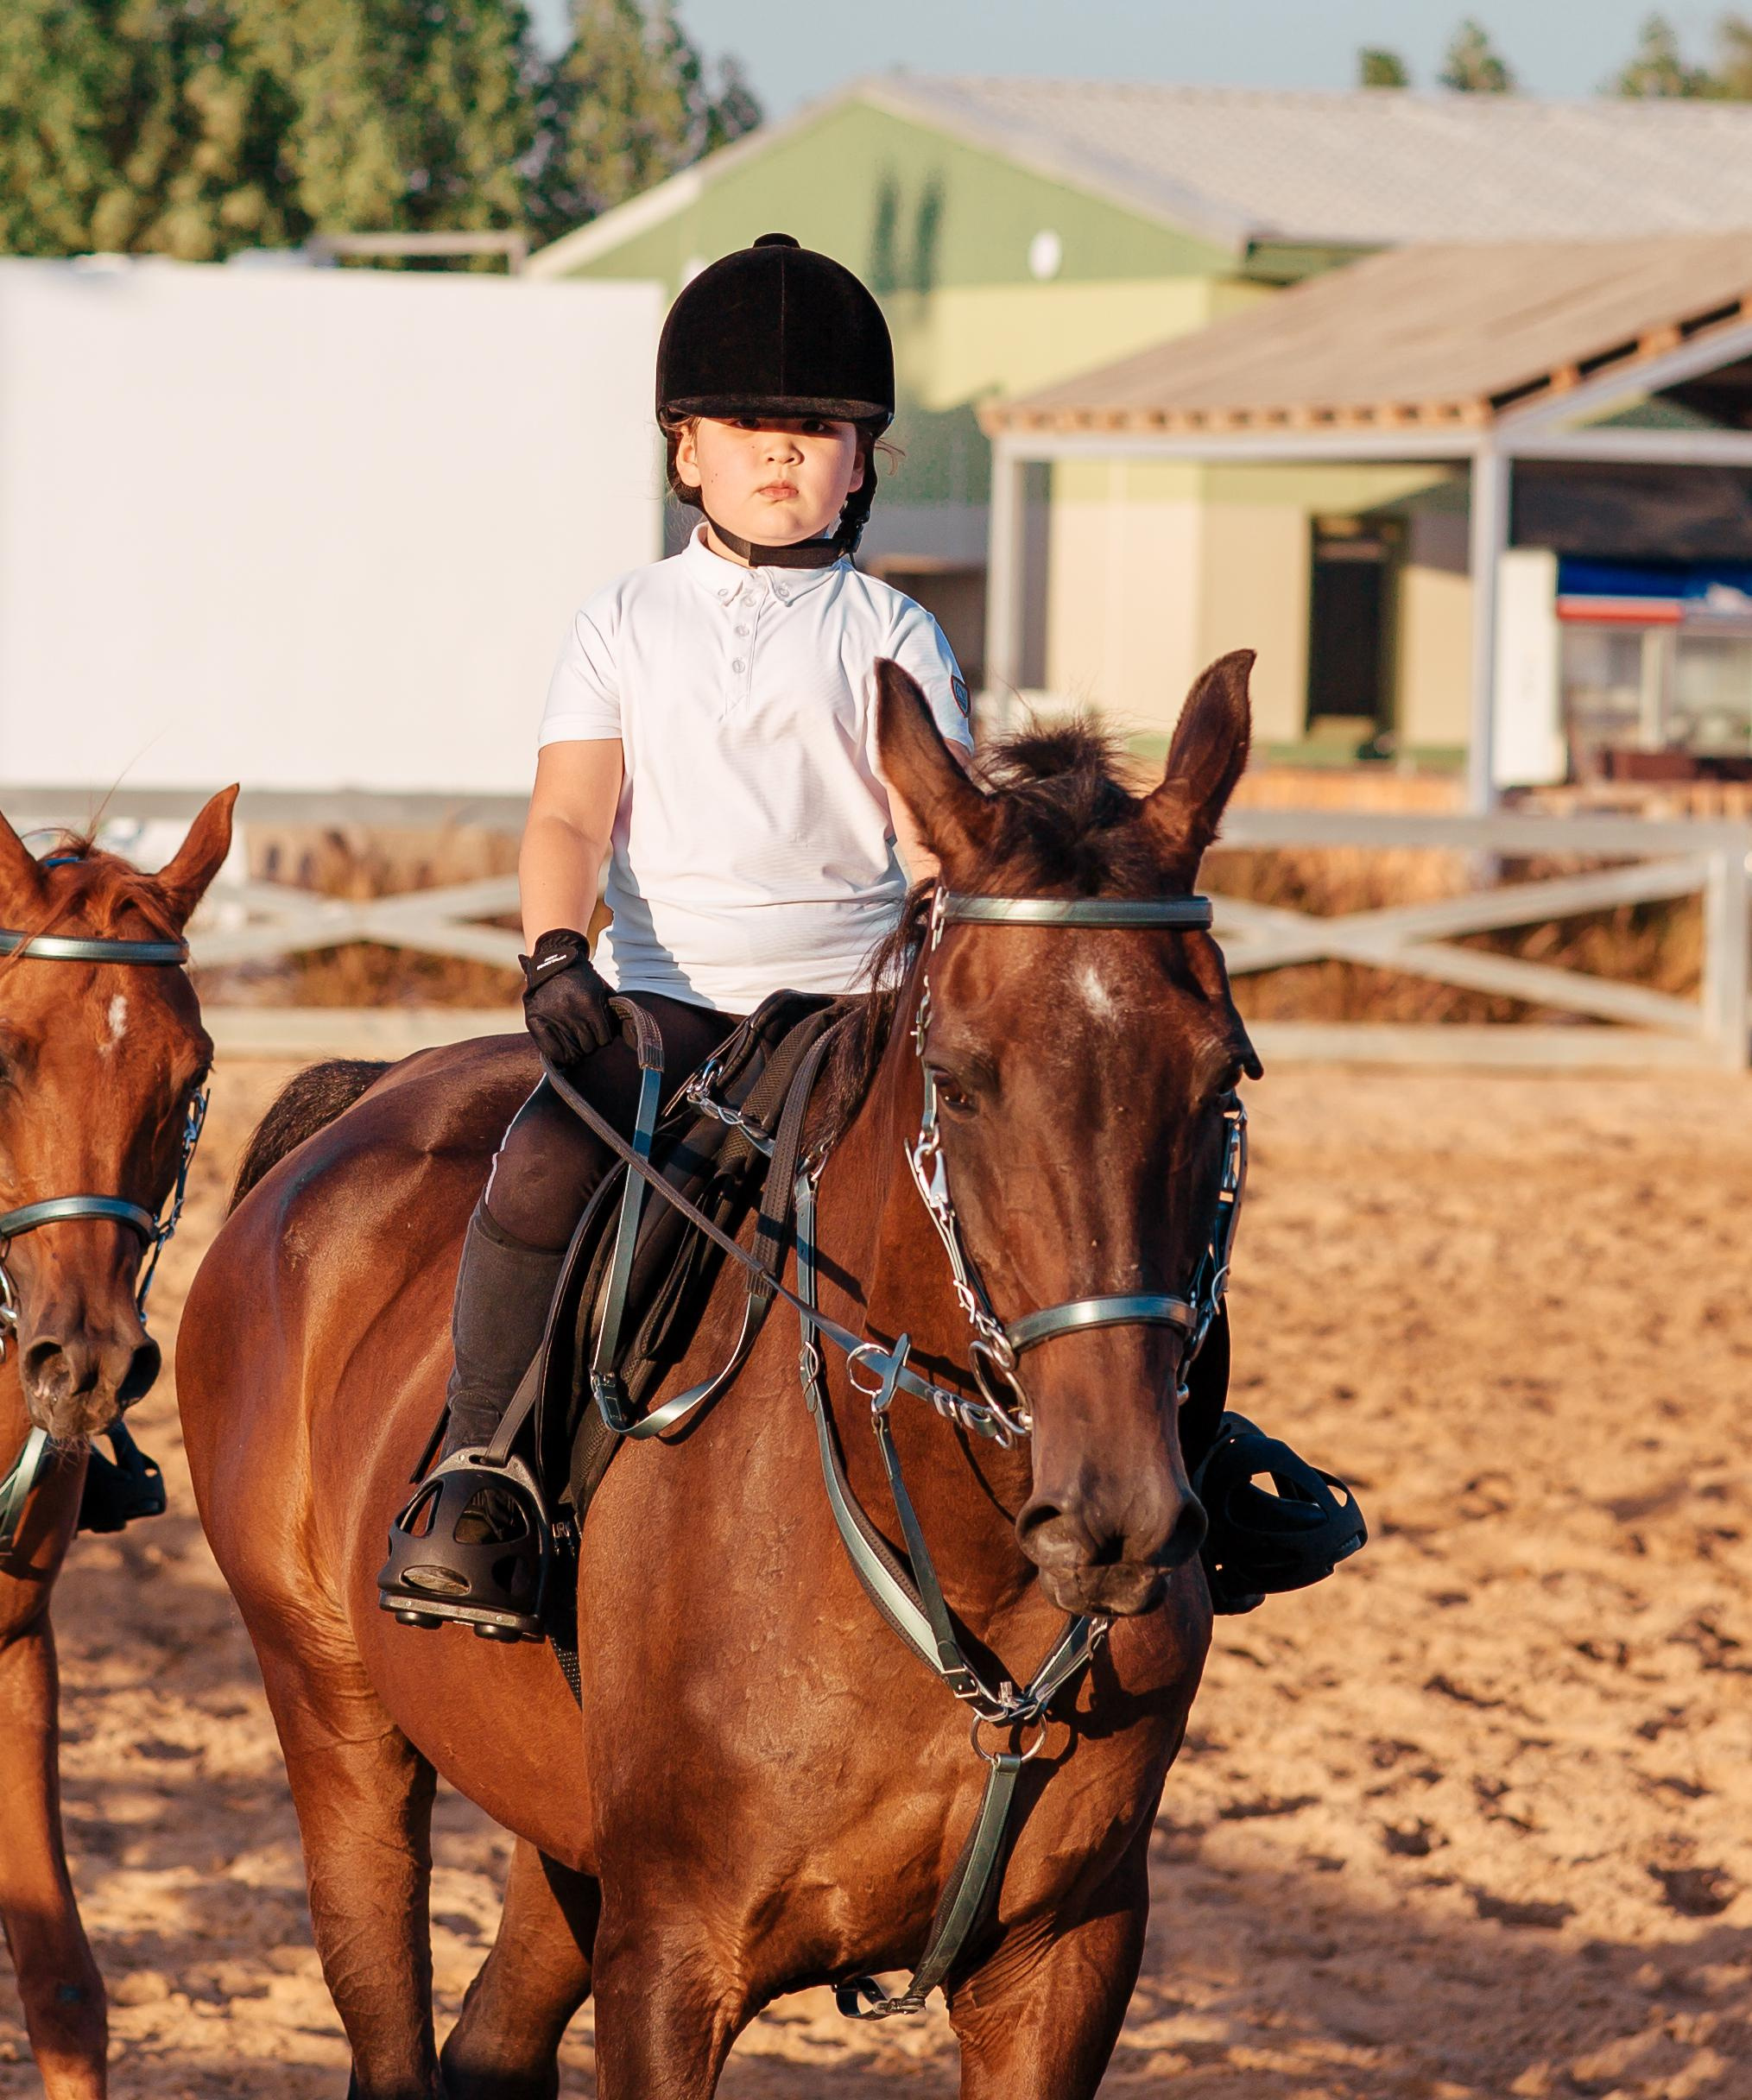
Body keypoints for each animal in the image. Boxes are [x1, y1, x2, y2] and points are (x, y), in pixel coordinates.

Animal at [178, 653, 1260, 2099]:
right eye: (961, 1080)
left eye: (1221, 1074)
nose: (1116, 1515)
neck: (954, 1566)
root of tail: (359, 1101)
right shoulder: (672, 1956)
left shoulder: (1066, 1962)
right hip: (338, 1725)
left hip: (559, 1825)